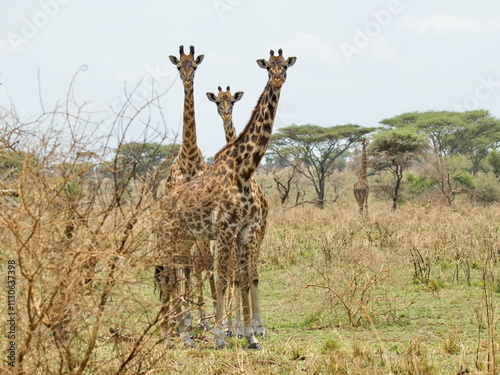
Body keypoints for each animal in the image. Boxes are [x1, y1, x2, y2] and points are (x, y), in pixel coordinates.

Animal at [206, 85, 270, 338]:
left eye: (232, 101)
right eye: (217, 101)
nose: (225, 114)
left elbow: (245, 277)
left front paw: (244, 327)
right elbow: (231, 276)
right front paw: (231, 326)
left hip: (259, 233)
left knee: (253, 275)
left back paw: (257, 325)